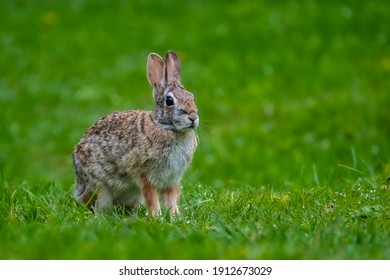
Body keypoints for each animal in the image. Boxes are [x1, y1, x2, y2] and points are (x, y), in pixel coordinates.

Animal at [71, 50, 198, 217]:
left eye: (192, 96)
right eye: (169, 101)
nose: (193, 117)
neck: (165, 126)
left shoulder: (171, 179)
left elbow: (171, 200)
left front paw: (175, 217)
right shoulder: (145, 175)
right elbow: (152, 198)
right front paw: (157, 217)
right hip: (100, 188)